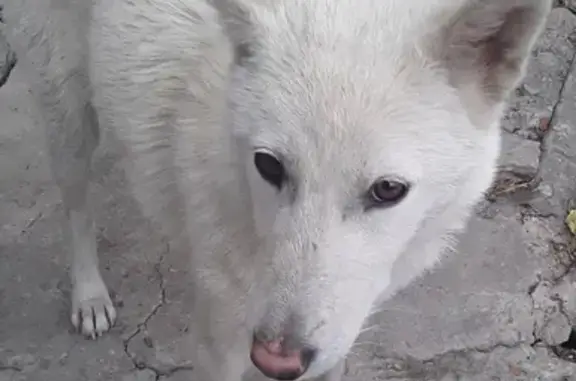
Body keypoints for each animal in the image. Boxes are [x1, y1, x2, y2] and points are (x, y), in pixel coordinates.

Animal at [2, 0, 552, 378]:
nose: (276, 360)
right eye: (268, 166)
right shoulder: (220, 344)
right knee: (76, 206)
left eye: (388, 190)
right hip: (68, 113)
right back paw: (89, 296)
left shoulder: (336, 339)